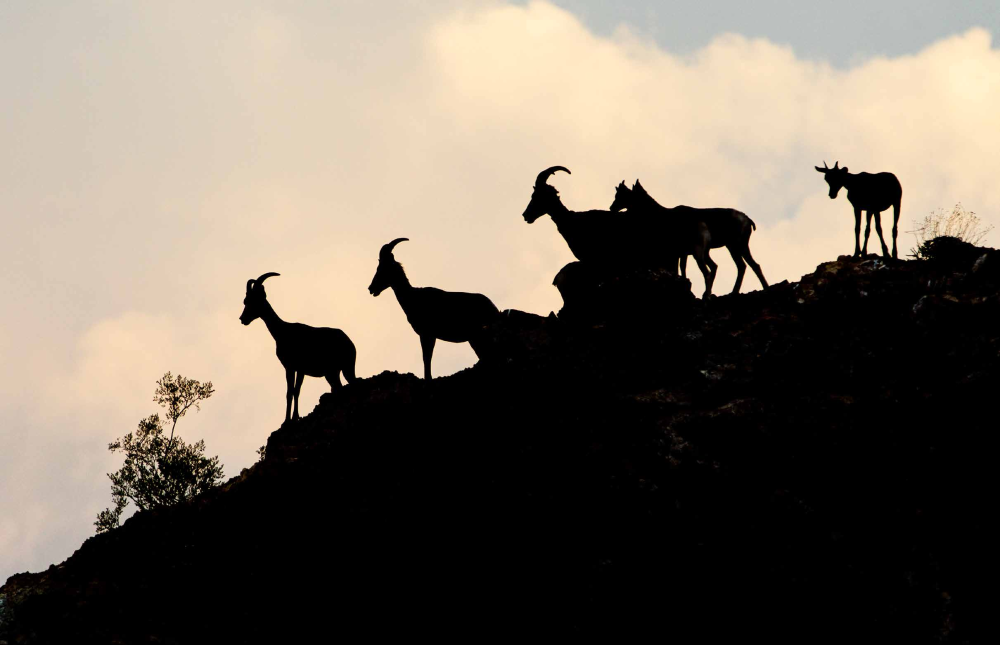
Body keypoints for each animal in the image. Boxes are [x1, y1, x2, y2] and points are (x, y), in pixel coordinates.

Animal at [239, 272, 357, 424]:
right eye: (246, 300)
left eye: (252, 300)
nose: (242, 318)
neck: (283, 332)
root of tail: (350, 342)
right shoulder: (298, 369)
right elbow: (295, 391)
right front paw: (295, 417)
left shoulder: (292, 367)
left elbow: (291, 391)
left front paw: (287, 421)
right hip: (334, 372)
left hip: (343, 368)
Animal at [367, 238, 501, 380]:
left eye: (382, 268)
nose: (371, 288)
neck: (413, 297)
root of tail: (494, 309)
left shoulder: (427, 334)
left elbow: (426, 358)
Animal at [610, 180, 768, 295]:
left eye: (622, 195)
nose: (612, 208)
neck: (662, 217)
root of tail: (748, 220)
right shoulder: (682, 252)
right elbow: (683, 268)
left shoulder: (675, 251)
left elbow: (679, 268)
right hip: (732, 247)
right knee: (747, 265)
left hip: (735, 245)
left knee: (745, 266)